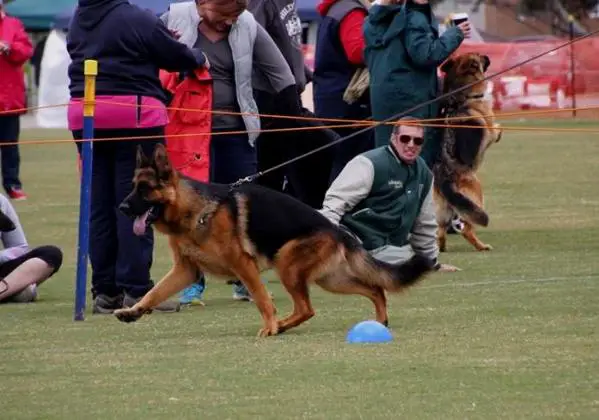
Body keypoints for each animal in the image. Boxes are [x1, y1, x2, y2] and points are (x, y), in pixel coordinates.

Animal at [115, 144, 434, 338]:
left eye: (144, 190)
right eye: (133, 187)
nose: (121, 207)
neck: (194, 211)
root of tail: (337, 230)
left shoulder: (243, 265)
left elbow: (261, 298)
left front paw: (268, 326)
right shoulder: (186, 270)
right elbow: (154, 292)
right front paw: (133, 311)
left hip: (287, 265)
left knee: (307, 309)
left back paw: (279, 326)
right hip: (330, 279)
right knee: (375, 289)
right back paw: (379, 321)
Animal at [434, 50, 504, 251]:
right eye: (479, 57)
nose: (487, 55)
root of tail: (445, 179)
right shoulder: (489, 126)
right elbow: (495, 129)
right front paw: (500, 131)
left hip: (442, 209)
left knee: (439, 231)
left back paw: (441, 248)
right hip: (476, 196)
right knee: (466, 229)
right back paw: (482, 247)